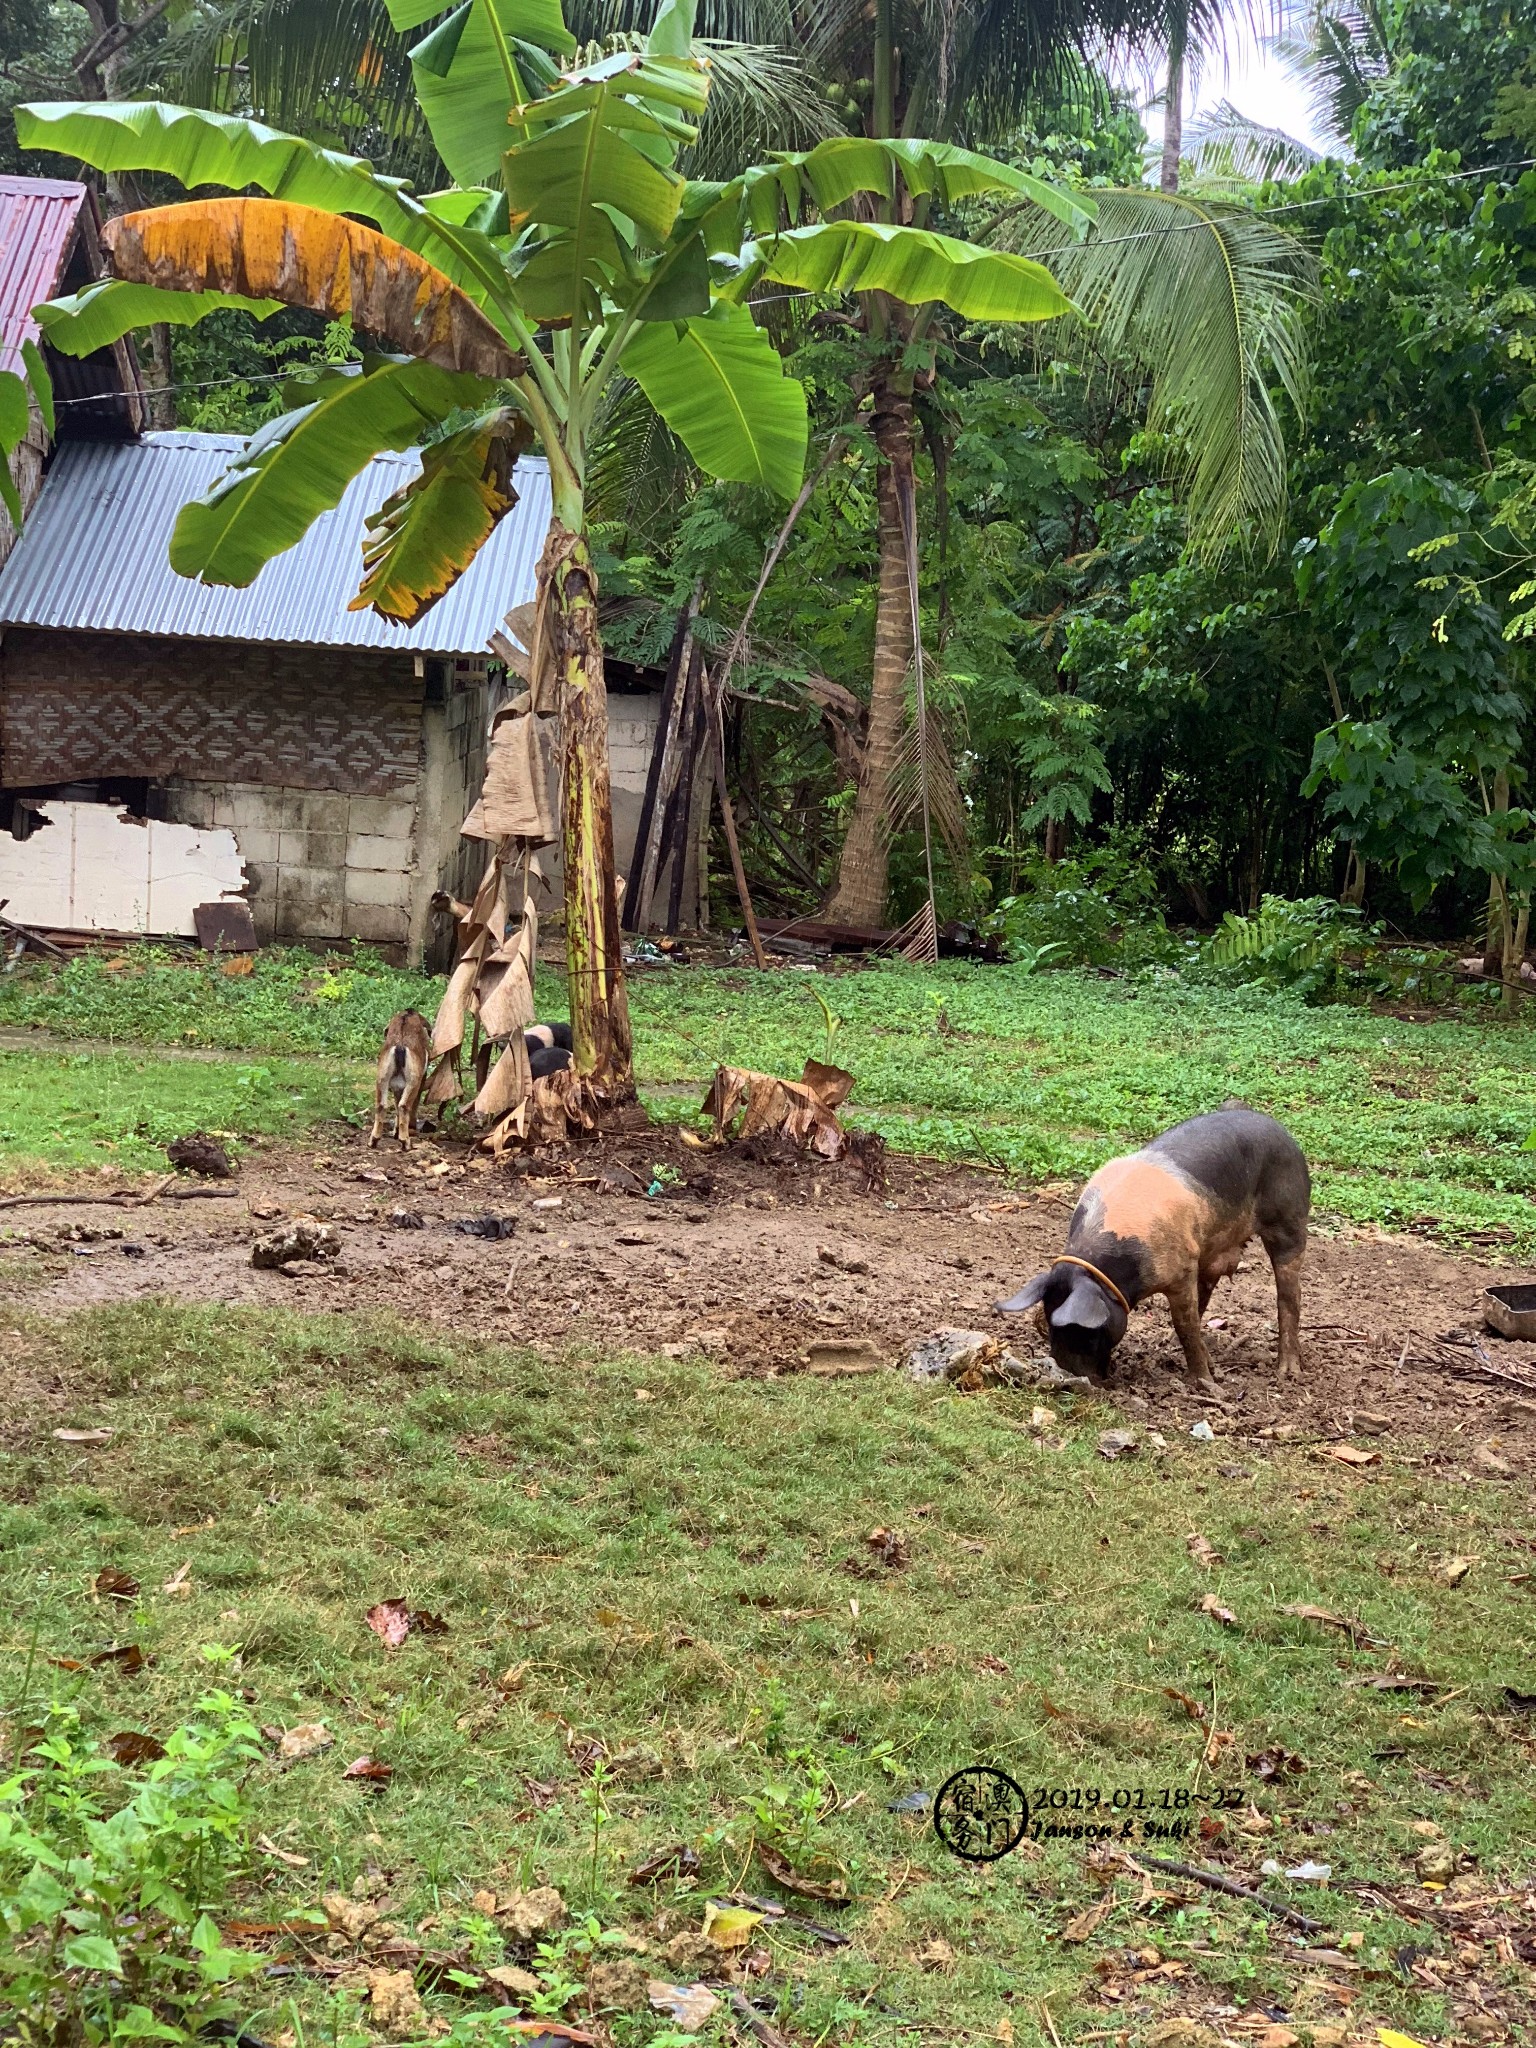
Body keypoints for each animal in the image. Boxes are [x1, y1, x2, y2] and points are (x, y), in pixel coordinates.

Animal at [999, 1114, 1310, 1400]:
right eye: (1051, 1325)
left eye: (1087, 1332)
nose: (1070, 1377)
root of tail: (1274, 1125)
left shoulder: (1181, 1272)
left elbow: (1185, 1326)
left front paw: (1206, 1383)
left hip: (1290, 1220)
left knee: (1289, 1297)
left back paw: (1287, 1374)